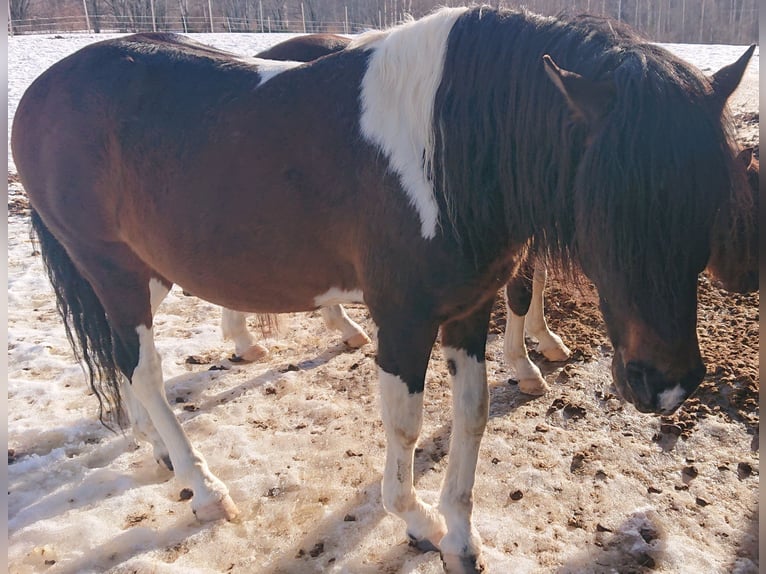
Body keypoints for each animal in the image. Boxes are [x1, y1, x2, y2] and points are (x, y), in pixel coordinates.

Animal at [12, 7, 755, 572]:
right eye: (606, 200)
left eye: (713, 194)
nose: (666, 384)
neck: (450, 149)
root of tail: (42, 91)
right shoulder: (403, 319)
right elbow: (405, 426)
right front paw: (418, 521)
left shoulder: (467, 312)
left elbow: (472, 415)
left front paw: (460, 538)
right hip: (111, 266)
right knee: (143, 367)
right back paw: (203, 486)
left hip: (144, 272)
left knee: (122, 361)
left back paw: (159, 450)